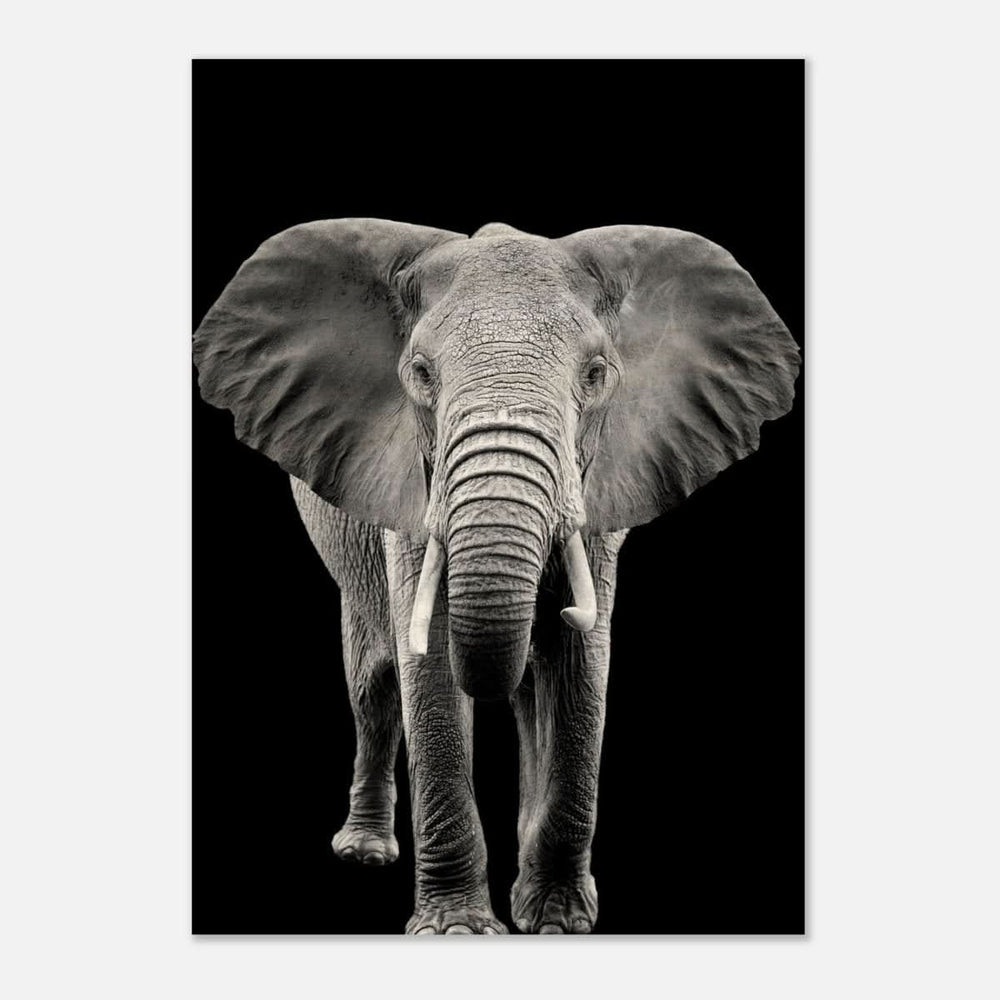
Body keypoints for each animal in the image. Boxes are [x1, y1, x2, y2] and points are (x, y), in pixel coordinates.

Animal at [192, 219, 800, 935]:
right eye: (420, 374)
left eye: (596, 374)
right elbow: (427, 662)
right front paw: (457, 929)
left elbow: (580, 665)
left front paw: (558, 922)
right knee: (373, 686)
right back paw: (365, 853)